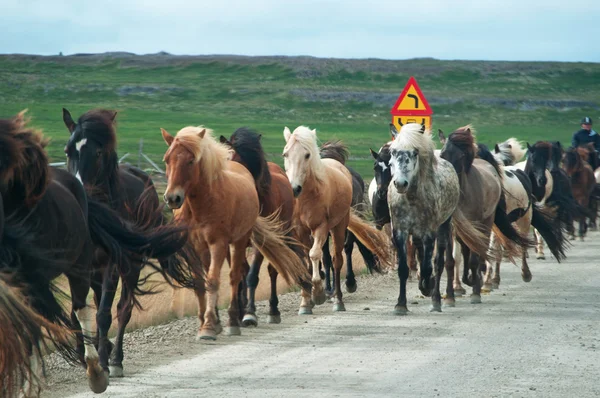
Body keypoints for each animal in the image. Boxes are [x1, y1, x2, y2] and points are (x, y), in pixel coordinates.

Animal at [159, 124, 310, 338]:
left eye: (191, 161)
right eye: (167, 159)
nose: (172, 198)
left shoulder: (242, 243)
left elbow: (245, 277)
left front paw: (244, 315)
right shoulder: (211, 245)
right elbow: (216, 279)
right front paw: (221, 318)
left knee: (264, 272)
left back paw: (265, 312)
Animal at [282, 125, 394, 314]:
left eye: (307, 155)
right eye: (285, 154)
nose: (294, 188)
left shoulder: (321, 228)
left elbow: (316, 255)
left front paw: (319, 293)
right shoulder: (300, 231)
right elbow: (307, 260)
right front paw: (306, 301)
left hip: (339, 227)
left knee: (339, 258)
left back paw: (340, 297)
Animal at [438, 125, 532, 304]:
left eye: (461, 156)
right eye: (442, 155)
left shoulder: (478, 225)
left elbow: (476, 258)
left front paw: (475, 290)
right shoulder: (452, 229)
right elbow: (451, 261)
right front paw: (451, 295)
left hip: (493, 222)